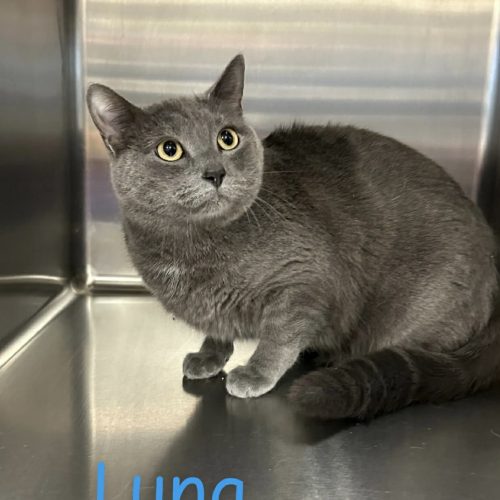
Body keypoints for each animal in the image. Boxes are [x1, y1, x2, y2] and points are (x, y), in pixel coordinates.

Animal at [86, 54, 500, 420]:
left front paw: (255, 373)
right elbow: (218, 328)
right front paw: (209, 355)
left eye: (227, 138)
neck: (191, 248)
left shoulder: (305, 280)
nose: (215, 173)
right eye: (168, 150)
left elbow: (280, 336)